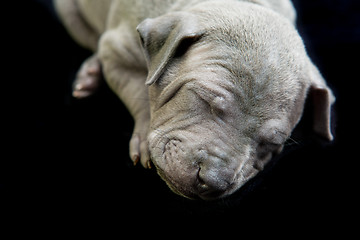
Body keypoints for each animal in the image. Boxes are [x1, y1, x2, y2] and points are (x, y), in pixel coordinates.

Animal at [54, 0, 336, 199]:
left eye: (273, 143)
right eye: (204, 98)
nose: (212, 180)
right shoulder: (116, 50)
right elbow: (139, 92)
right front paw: (144, 137)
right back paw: (90, 73)